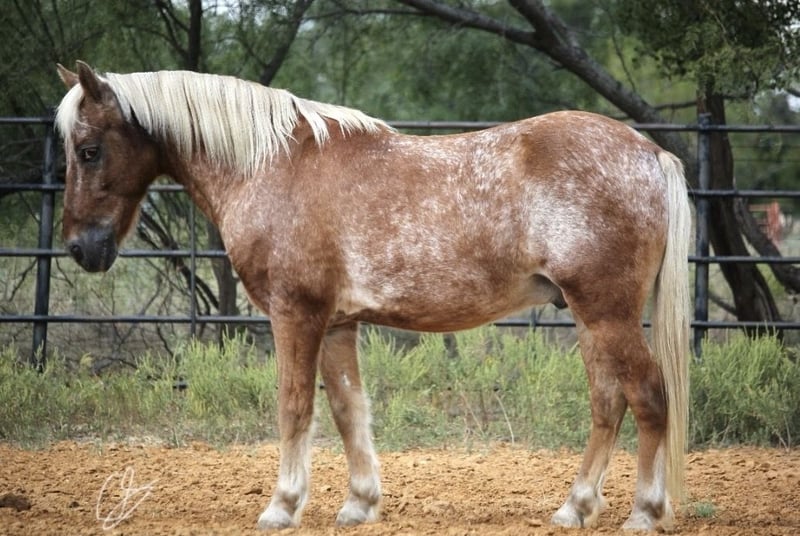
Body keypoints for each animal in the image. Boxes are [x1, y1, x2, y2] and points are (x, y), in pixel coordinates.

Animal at [55, 61, 690, 531]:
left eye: (88, 150)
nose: (81, 248)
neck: (273, 166)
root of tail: (647, 153)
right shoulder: (337, 323)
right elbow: (346, 409)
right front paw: (359, 503)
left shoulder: (296, 315)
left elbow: (294, 407)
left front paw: (281, 506)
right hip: (588, 316)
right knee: (608, 404)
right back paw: (575, 508)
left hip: (606, 313)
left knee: (648, 395)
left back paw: (644, 512)